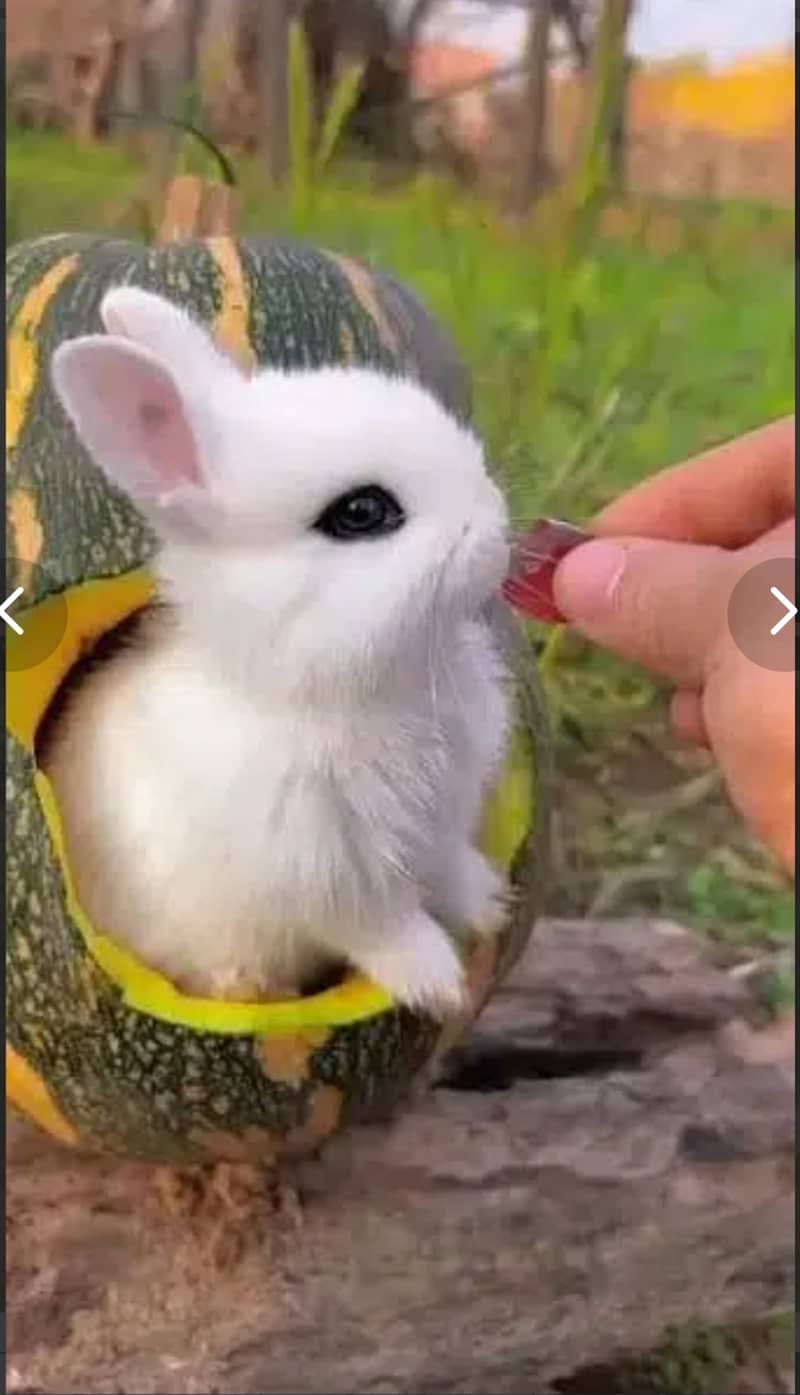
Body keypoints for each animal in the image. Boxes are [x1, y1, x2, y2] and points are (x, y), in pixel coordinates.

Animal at [44, 286, 513, 1017]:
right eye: (361, 512)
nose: (496, 521)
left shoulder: (440, 829)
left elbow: (449, 868)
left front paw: (490, 905)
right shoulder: (328, 875)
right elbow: (386, 927)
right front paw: (439, 983)